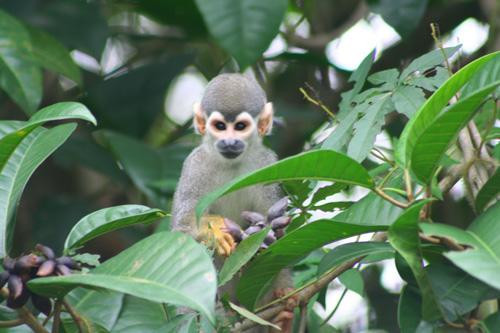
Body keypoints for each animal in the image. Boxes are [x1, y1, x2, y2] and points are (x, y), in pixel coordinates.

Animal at [172, 74, 294, 330]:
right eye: (220, 126)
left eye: (240, 127)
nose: (229, 142)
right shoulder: (194, 167)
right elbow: (182, 232)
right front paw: (214, 230)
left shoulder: (267, 164)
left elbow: (278, 239)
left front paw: (276, 231)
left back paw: (280, 316)